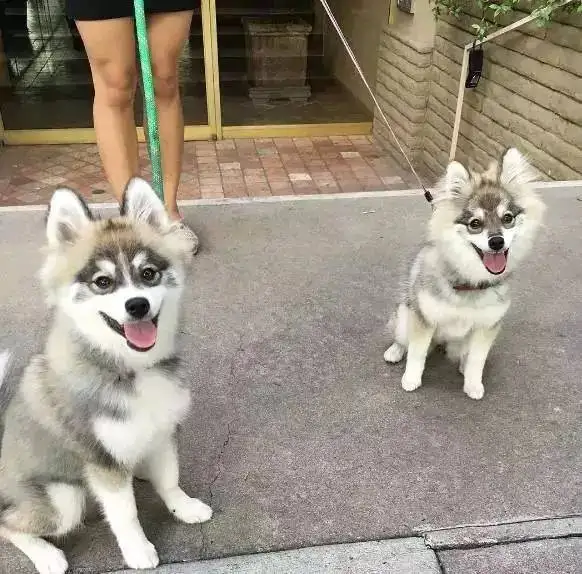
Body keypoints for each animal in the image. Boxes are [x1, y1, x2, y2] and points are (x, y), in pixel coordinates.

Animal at [0, 178, 213, 572]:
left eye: (148, 274)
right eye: (102, 282)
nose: (137, 305)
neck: (130, 369)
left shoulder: (163, 431)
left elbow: (170, 478)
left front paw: (184, 507)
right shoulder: (102, 462)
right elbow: (125, 514)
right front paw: (138, 550)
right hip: (63, 499)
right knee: (8, 525)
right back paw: (47, 555)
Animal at [388, 148, 548, 400]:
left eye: (508, 218)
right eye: (475, 223)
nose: (496, 242)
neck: (470, 281)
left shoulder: (486, 327)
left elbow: (476, 360)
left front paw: (473, 385)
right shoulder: (424, 320)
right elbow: (416, 353)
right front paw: (411, 379)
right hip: (405, 315)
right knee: (402, 337)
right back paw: (394, 351)